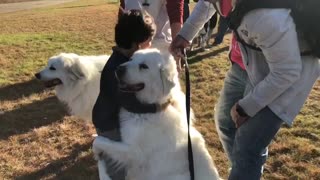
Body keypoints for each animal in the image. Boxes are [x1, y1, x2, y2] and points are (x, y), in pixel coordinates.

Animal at [91, 48, 219, 180]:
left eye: (143, 66)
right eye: (131, 59)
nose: (119, 69)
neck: (148, 109)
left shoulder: (134, 152)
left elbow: (101, 141)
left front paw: (96, 150)